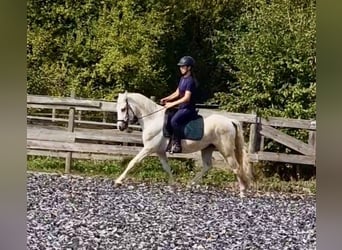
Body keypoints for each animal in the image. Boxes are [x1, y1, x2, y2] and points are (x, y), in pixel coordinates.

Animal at [116, 92, 252, 197]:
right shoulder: (160, 151)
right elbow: (166, 167)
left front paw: (118, 180)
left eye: (123, 109)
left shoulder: (149, 148)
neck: (153, 119)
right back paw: (190, 185)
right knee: (207, 166)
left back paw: (242, 192)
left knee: (236, 167)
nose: (120, 127)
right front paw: (173, 185)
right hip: (207, 149)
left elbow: (133, 162)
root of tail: (230, 120)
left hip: (226, 151)